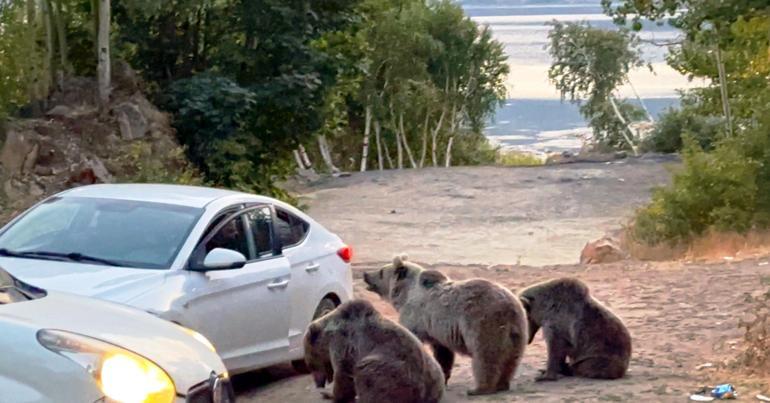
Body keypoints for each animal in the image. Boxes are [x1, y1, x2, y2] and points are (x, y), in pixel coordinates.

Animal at [302, 300, 440, 403]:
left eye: (310, 365)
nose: (318, 384)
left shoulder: (343, 343)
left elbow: (343, 375)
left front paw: (329, 394)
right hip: (433, 373)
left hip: (395, 373)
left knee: (367, 374)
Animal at [364, 256, 524, 398]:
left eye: (381, 271)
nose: (366, 275)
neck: (405, 295)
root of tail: (508, 306)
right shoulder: (438, 331)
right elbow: (443, 354)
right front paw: (444, 377)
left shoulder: (415, 317)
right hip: (517, 330)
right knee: (511, 358)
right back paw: (503, 383)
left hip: (483, 322)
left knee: (485, 356)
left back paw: (479, 389)